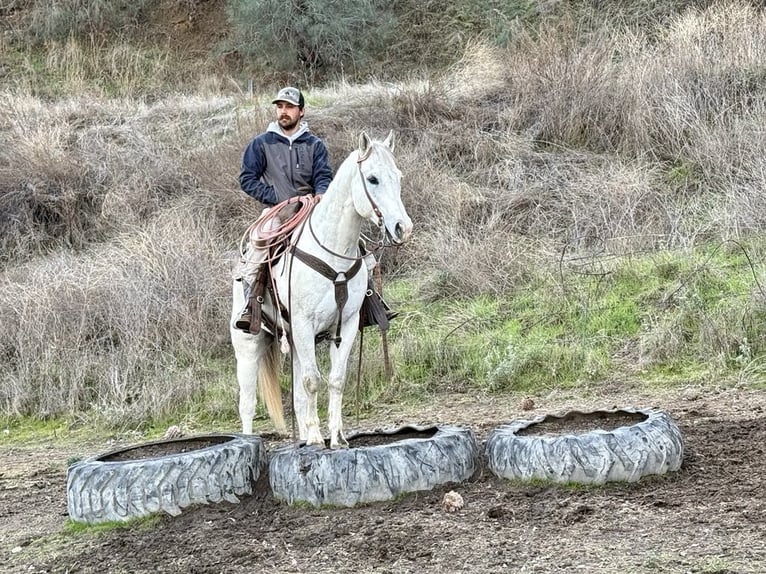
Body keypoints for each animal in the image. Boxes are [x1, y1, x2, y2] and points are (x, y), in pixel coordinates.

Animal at [231, 130, 414, 450]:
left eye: (398, 177)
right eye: (373, 179)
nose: (403, 227)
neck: (332, 253)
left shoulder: (347, 325)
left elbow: (335, 380)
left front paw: (337, 437)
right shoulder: (304, 324)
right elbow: (312, 381)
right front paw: (317, 439)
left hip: (293, 340)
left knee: (298, 397)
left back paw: (303, 436)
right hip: (248, 345)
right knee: (248, 402)